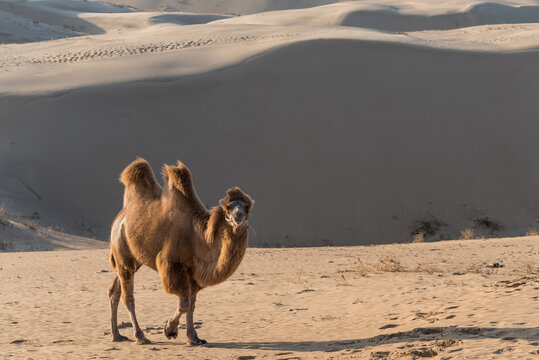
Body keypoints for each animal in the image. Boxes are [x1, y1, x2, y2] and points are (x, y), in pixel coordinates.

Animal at [109, 159, 255, 344]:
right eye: (228, 207)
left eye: (247, 207)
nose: (238, 217)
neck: (199, 237)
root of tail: (119, 218)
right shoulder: (172, 264)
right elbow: (184, 303)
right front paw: (170, 330)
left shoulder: (193, 271)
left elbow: (192, 304)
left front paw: (193, 337)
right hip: (122, 250)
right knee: (128, 297)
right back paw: (140, 336)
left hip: (135, 259)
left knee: (114, 291)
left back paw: (117, 335)